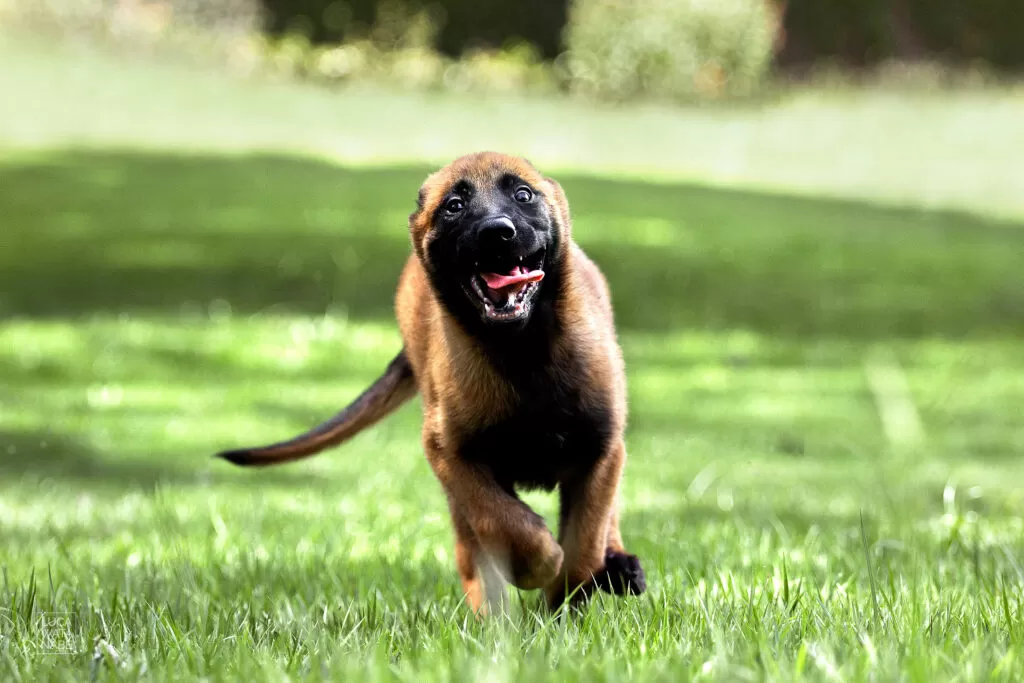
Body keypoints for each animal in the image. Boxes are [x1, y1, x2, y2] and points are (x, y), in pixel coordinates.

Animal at [217, 152, 643, 610]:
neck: (521, 353)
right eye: (454, 206)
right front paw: (537, 564)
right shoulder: (452, 454)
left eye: (523, 195)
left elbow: (585, 544)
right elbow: (506, 521)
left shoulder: (601, 451)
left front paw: (568, 599)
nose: (497, 233)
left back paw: (618, 565)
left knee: (605, 520)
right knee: (473, 550)